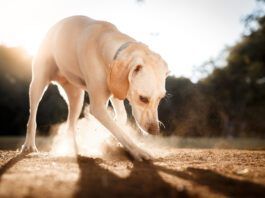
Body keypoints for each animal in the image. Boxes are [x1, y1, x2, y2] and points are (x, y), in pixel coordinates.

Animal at [21, 15, 168, 161]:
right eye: (143, 98)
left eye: (161, 98)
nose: (155, 131)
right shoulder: (97, 108)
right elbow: (120, 131)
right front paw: (138, 150)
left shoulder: (116, 91)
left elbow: (120, 119)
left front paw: (110, 139)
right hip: (37, 84)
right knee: (32, 118)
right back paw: (29, 145)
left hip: (77, 98)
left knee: (70, 125)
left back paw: (72, 150)